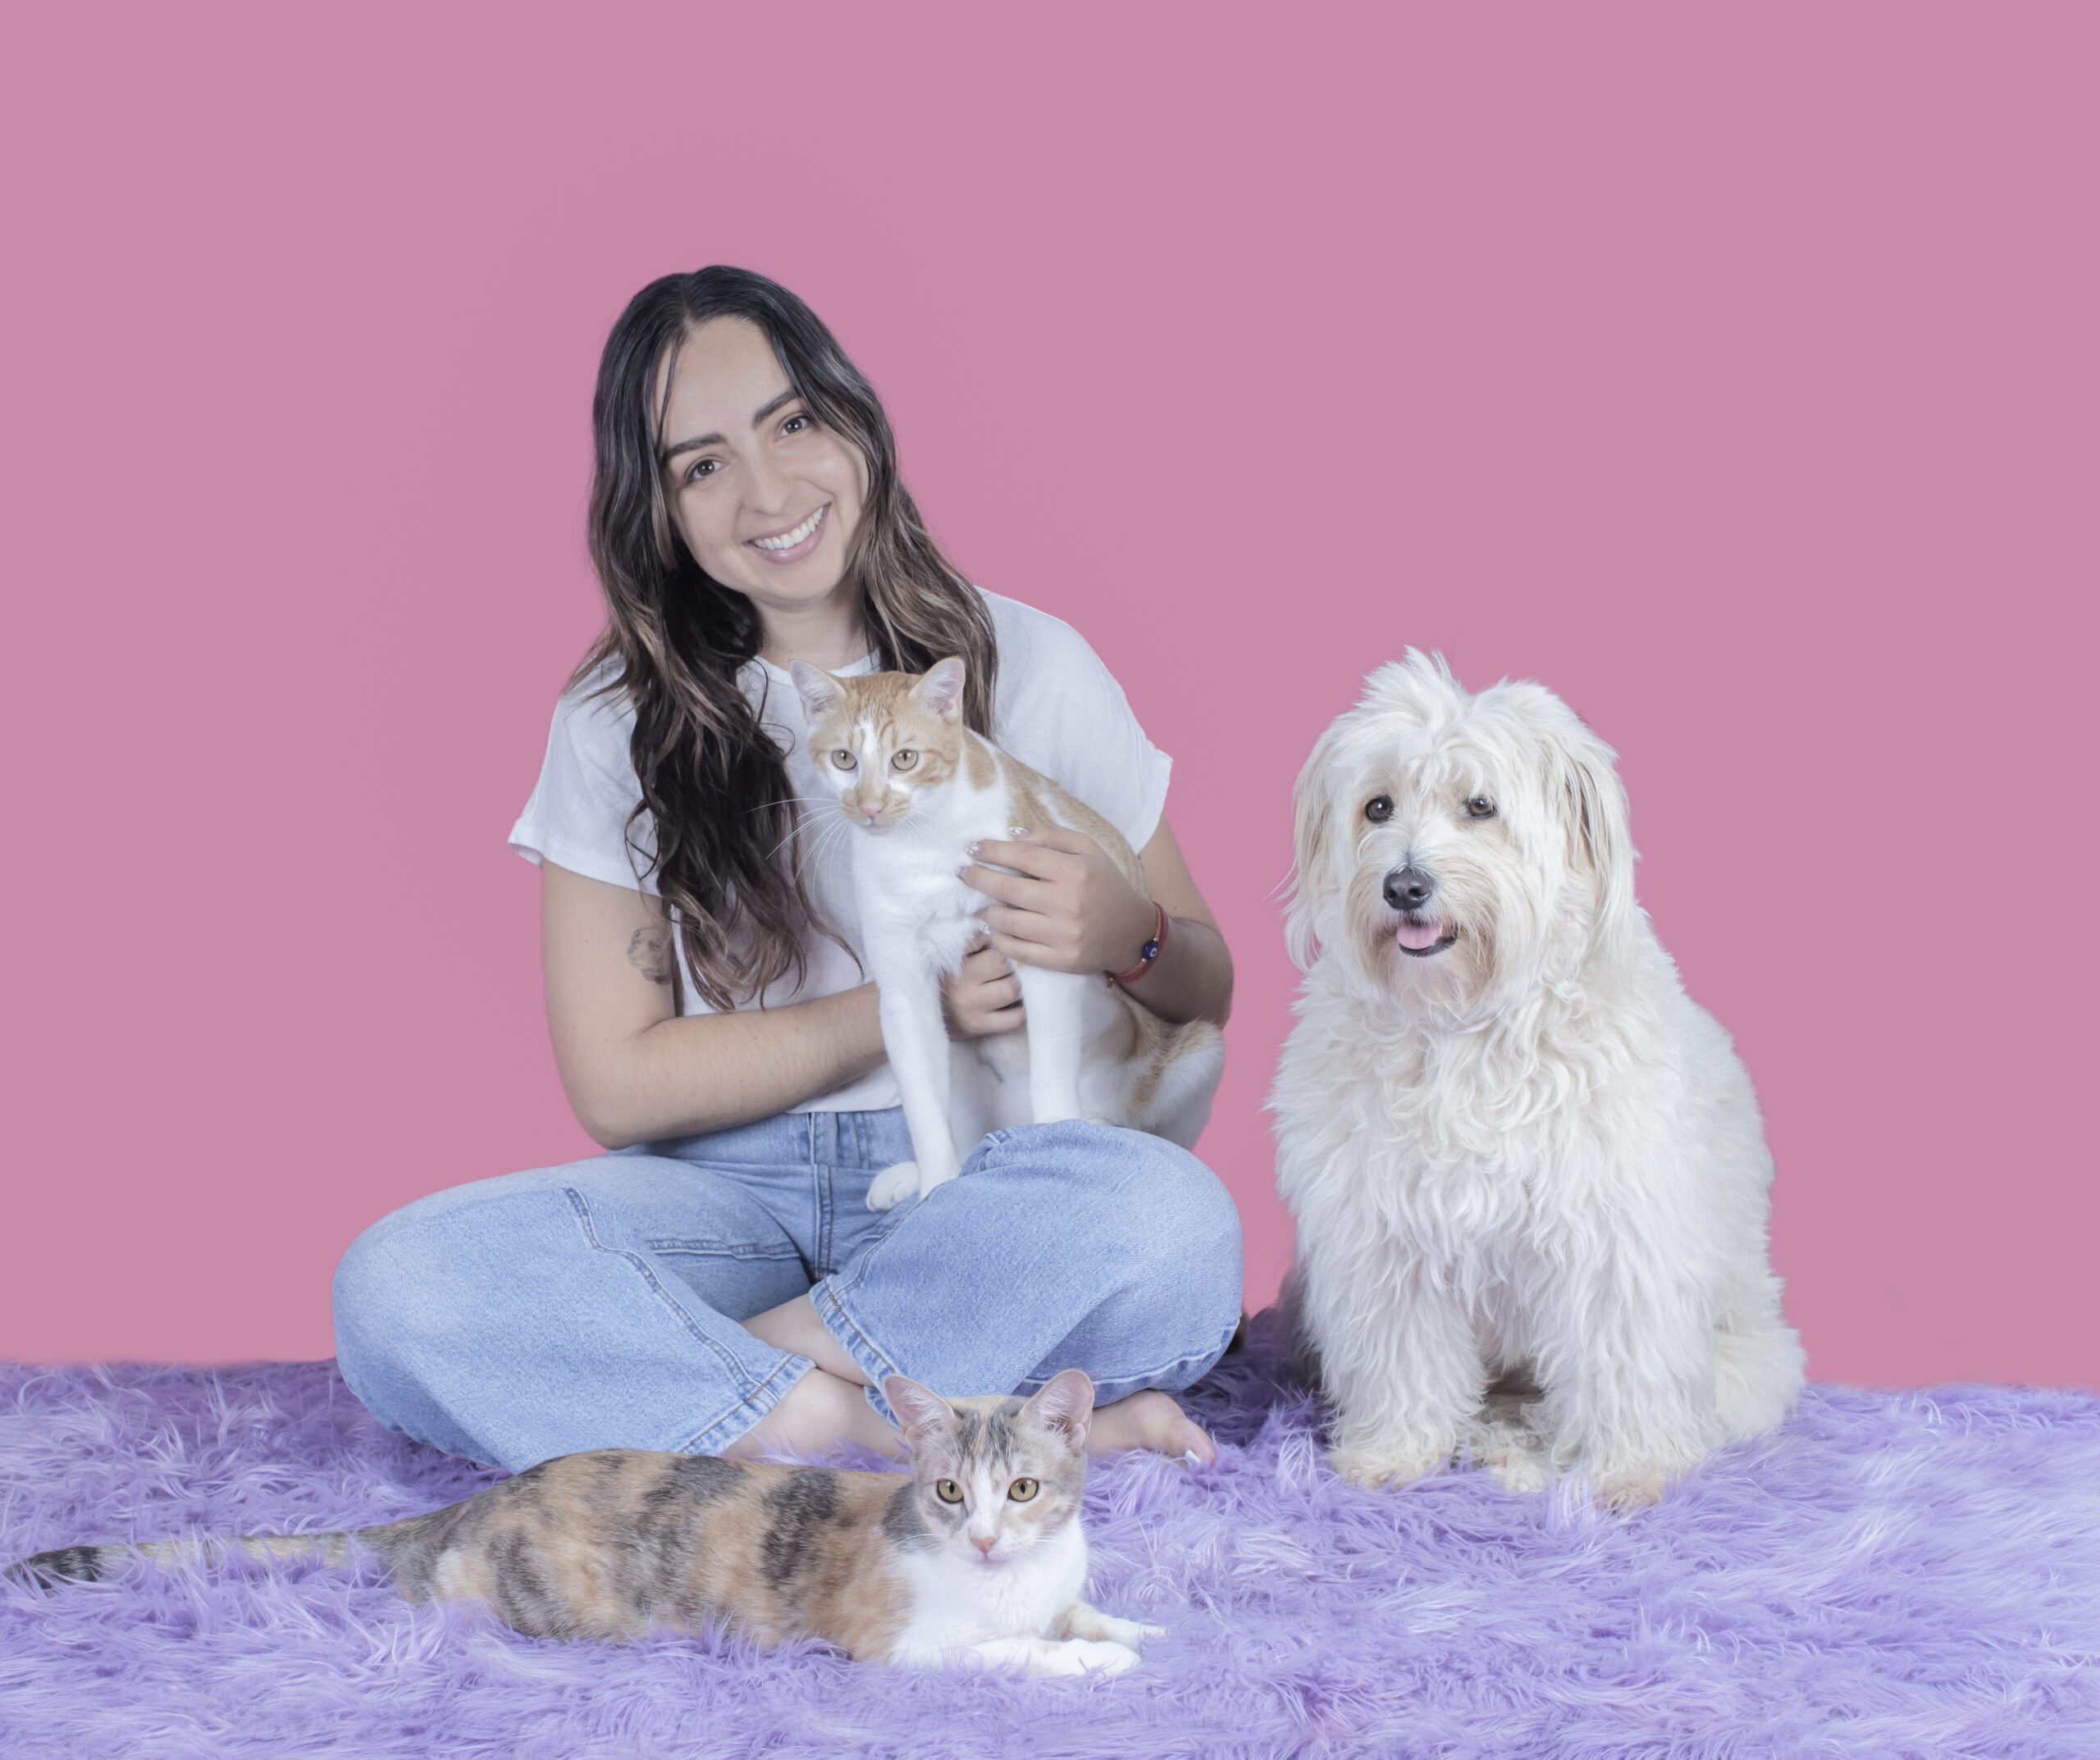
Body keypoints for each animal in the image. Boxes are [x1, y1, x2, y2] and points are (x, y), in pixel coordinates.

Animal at [8, 1361, 1167, 1680]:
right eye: (947, 1492)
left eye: (1022, 1491)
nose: (982, 1536)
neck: (1005, 1580)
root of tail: (479, 1498)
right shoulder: (899, 1643)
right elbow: (1009, 1651)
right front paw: (1090, 1661)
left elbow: (1074, 1610)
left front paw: (1131, 1625)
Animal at [789, 654, 1226, 1218]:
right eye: (844, 759)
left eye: (904, 759)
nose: (869, 807)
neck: (922, 846)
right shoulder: (904, 995)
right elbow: (923, 1107)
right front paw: (935, 1187)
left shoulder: (1046, 949)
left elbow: (1053, 1085)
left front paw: (1068, 1153)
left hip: (1200, 1049)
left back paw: (1100, 1125)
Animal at [1268, 654, 1797, 1512]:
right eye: (1377, 806)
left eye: (1480, 806)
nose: (1404, 886)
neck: (1466, 1024)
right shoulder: (1386, 1242)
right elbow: (1404, 1358)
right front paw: (1395, 1452)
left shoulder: (1615, 1241)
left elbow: (1623, 1362)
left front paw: (1632, 1469)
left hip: (1739, 1364)